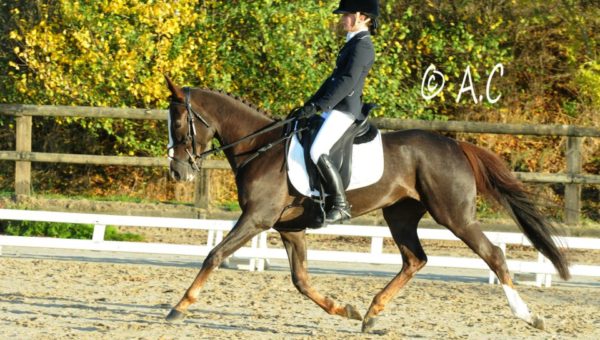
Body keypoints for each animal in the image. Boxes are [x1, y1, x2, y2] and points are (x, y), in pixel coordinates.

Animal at [163, 76, 568, 332]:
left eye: (179, 124)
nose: (179, 172)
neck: (261, 148)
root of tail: (455, 144)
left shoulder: (257, 219)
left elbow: (214, 255)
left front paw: (179, 306)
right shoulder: (288, 227)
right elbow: (301, 280)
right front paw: (343, 308)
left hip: (454, 215)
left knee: (493, 255)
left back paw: (529, 317)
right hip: (400, 214)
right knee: (414, 260)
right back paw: (371, 314)